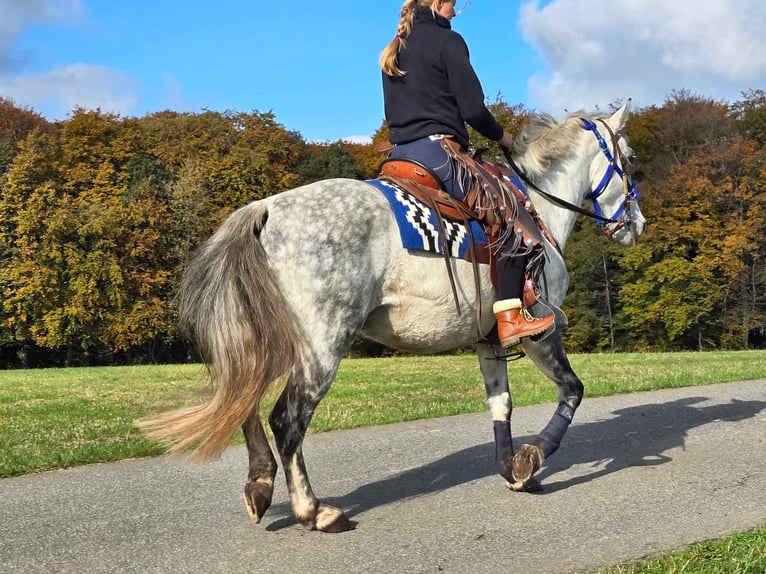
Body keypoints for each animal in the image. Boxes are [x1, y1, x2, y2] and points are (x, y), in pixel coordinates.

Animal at [140, 100, 648, 536]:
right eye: (629, 158)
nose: (637, 224)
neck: (537, 209)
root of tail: (265, 207)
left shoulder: (488, 340)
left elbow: (500, 404)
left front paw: (511, 468)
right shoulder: (539, 333)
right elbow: (572, 390)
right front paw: (533, 458)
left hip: (268, 341)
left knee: (246, 402)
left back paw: (260, 487)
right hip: (322, 348)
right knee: (286, 421)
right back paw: (314, 511)